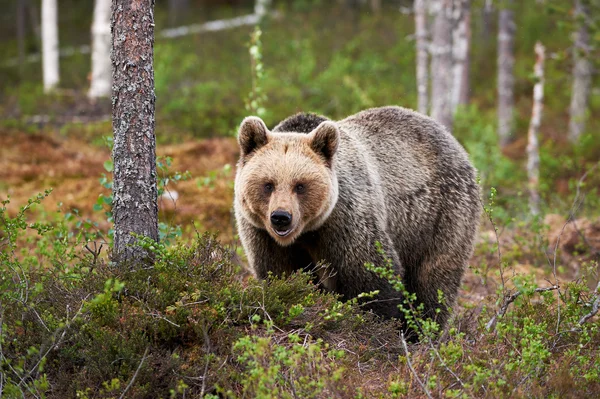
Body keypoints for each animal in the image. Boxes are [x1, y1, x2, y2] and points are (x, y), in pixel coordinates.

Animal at [232, 105, 480, 332]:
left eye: (300, 185)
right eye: (268, 184)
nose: (281, 217)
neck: (308, 231)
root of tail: (452, 140)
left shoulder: (348, 219)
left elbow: (370, 274)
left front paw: (376, 325)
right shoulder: (263, 234)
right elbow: (282, 274)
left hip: (439, 216)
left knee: (433, 278)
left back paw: (422, 330)